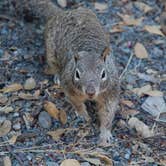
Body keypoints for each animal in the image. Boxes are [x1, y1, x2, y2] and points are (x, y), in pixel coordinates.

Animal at [12, 0, 119, 145]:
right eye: (77, 74)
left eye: (103, 74)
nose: (90, 92)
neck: (90, 50)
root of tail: (60, 13)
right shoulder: (69, 86)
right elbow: (76, 103)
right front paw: (83, 114)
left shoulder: (111, 91)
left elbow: (108, 113)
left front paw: (105, 134)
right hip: (51, 55)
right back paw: (57, 76)